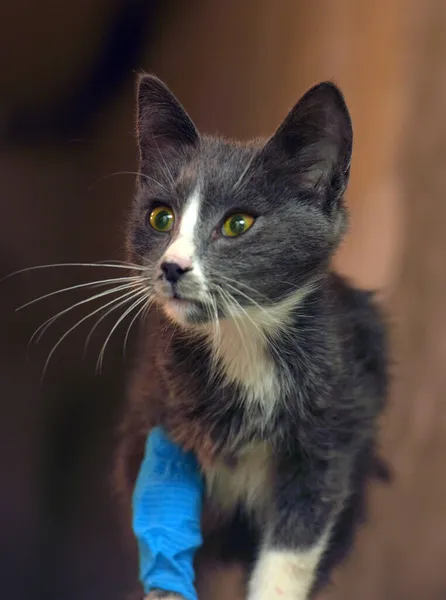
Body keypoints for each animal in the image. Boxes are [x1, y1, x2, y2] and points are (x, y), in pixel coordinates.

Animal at [123, 75, 388, 600]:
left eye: (237, 224)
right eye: (161, 218)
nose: (171, 267)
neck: (243, 339)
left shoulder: (336, 426)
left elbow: (294, 547)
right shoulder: (163, 412)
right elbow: (166, 520)